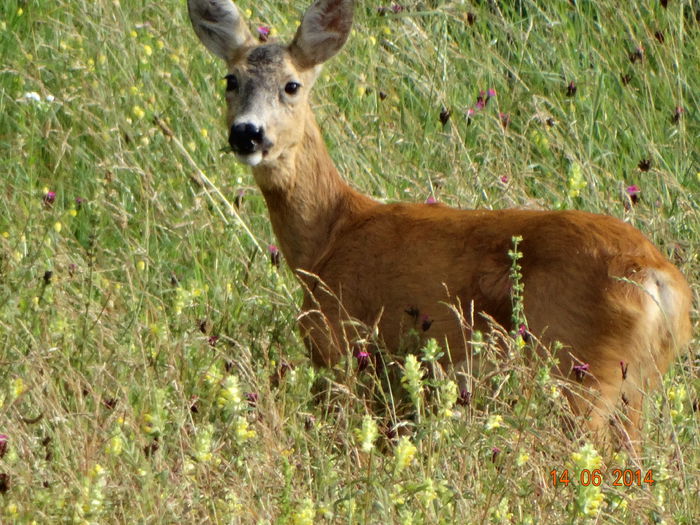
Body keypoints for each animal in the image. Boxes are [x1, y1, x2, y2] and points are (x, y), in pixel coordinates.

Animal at [187, 0, 696, 448]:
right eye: (231, 79)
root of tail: (658, 277)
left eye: (291, 85)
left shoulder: (341, 347)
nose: (247, 133)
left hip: (580, 369)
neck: (330, 235)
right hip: (635, 384)